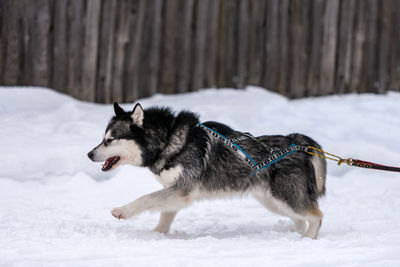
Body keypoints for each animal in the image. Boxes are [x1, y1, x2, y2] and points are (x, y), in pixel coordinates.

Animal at [86, 103, 324, 240]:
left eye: (110, 140)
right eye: (102, 138)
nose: (89, 154)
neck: (169, 143)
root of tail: (297, 142)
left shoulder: (180, 190)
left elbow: (145, 198)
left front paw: (123, 211)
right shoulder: (174, 193)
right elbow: (164, 217)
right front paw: (157, 235)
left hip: (286, 197)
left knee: (316, 216)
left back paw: (307, 239)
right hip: (275, 202)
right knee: (300, 219)